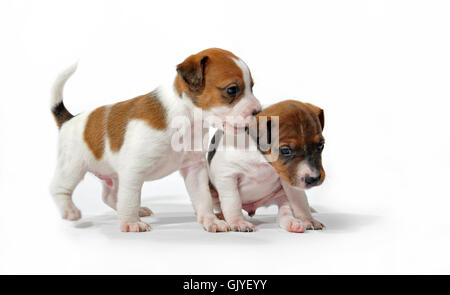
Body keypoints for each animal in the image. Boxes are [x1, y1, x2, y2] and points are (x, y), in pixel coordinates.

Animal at [49, 48, 260, 234]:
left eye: (252, 87)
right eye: (232, 90)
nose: (258, 111)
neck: (184, 117)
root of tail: (69, 119)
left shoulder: (194, 170)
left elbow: (203, 199)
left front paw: (210, 220)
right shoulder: (133, 171)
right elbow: (130, 199)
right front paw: (130, 223)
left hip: (113, 176)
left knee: (110, 196)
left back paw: (137, 210)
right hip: (73, 167)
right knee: (59, 189)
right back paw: (70, 210)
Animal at [207, 100, 326, 235]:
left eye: (321, 145)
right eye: (285, 150)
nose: (314, 178)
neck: (263, 159)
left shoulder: (288, 179)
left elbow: (300, 201)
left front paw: (308, 219)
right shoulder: (227, 176)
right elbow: (233, 202)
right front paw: (238, 222)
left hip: (281, 196)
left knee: (284, 213)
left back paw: (292, 223)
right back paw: (220, 216)